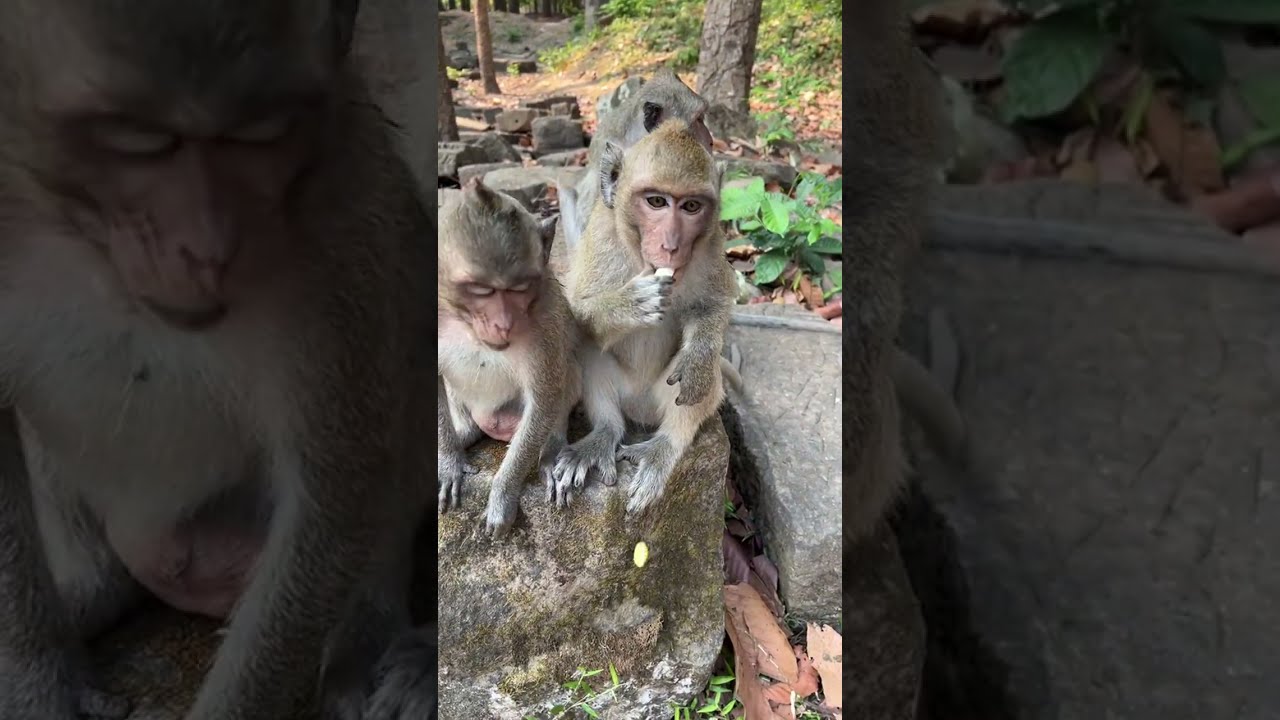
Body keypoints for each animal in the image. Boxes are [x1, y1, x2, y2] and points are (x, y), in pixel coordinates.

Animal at [0, 1, 436, 719]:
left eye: (259, 134)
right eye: (138, 139)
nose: (207, 249)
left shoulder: (344, 226)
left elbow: (335, 486)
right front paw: (39, 686)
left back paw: (372, 642)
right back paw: (89, 592)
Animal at [437, 177, 582, 535]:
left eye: (519, 289)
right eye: (482, 290)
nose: (503, 323)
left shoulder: (545, 324)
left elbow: (544, 399)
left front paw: (502, 496)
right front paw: (448, 462)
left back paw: (551, 449)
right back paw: (464, 435)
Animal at [552, 119, 734, 514]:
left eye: (691, 206)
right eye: (656, 201)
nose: (671, 245)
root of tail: (639, 411)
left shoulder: (713, 243)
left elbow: (714, 305)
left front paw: (698, 355)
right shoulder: (601, 237)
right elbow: (575, 312)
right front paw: (631, 303)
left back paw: (666, 445)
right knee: (586, 347)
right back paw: (603, 434)